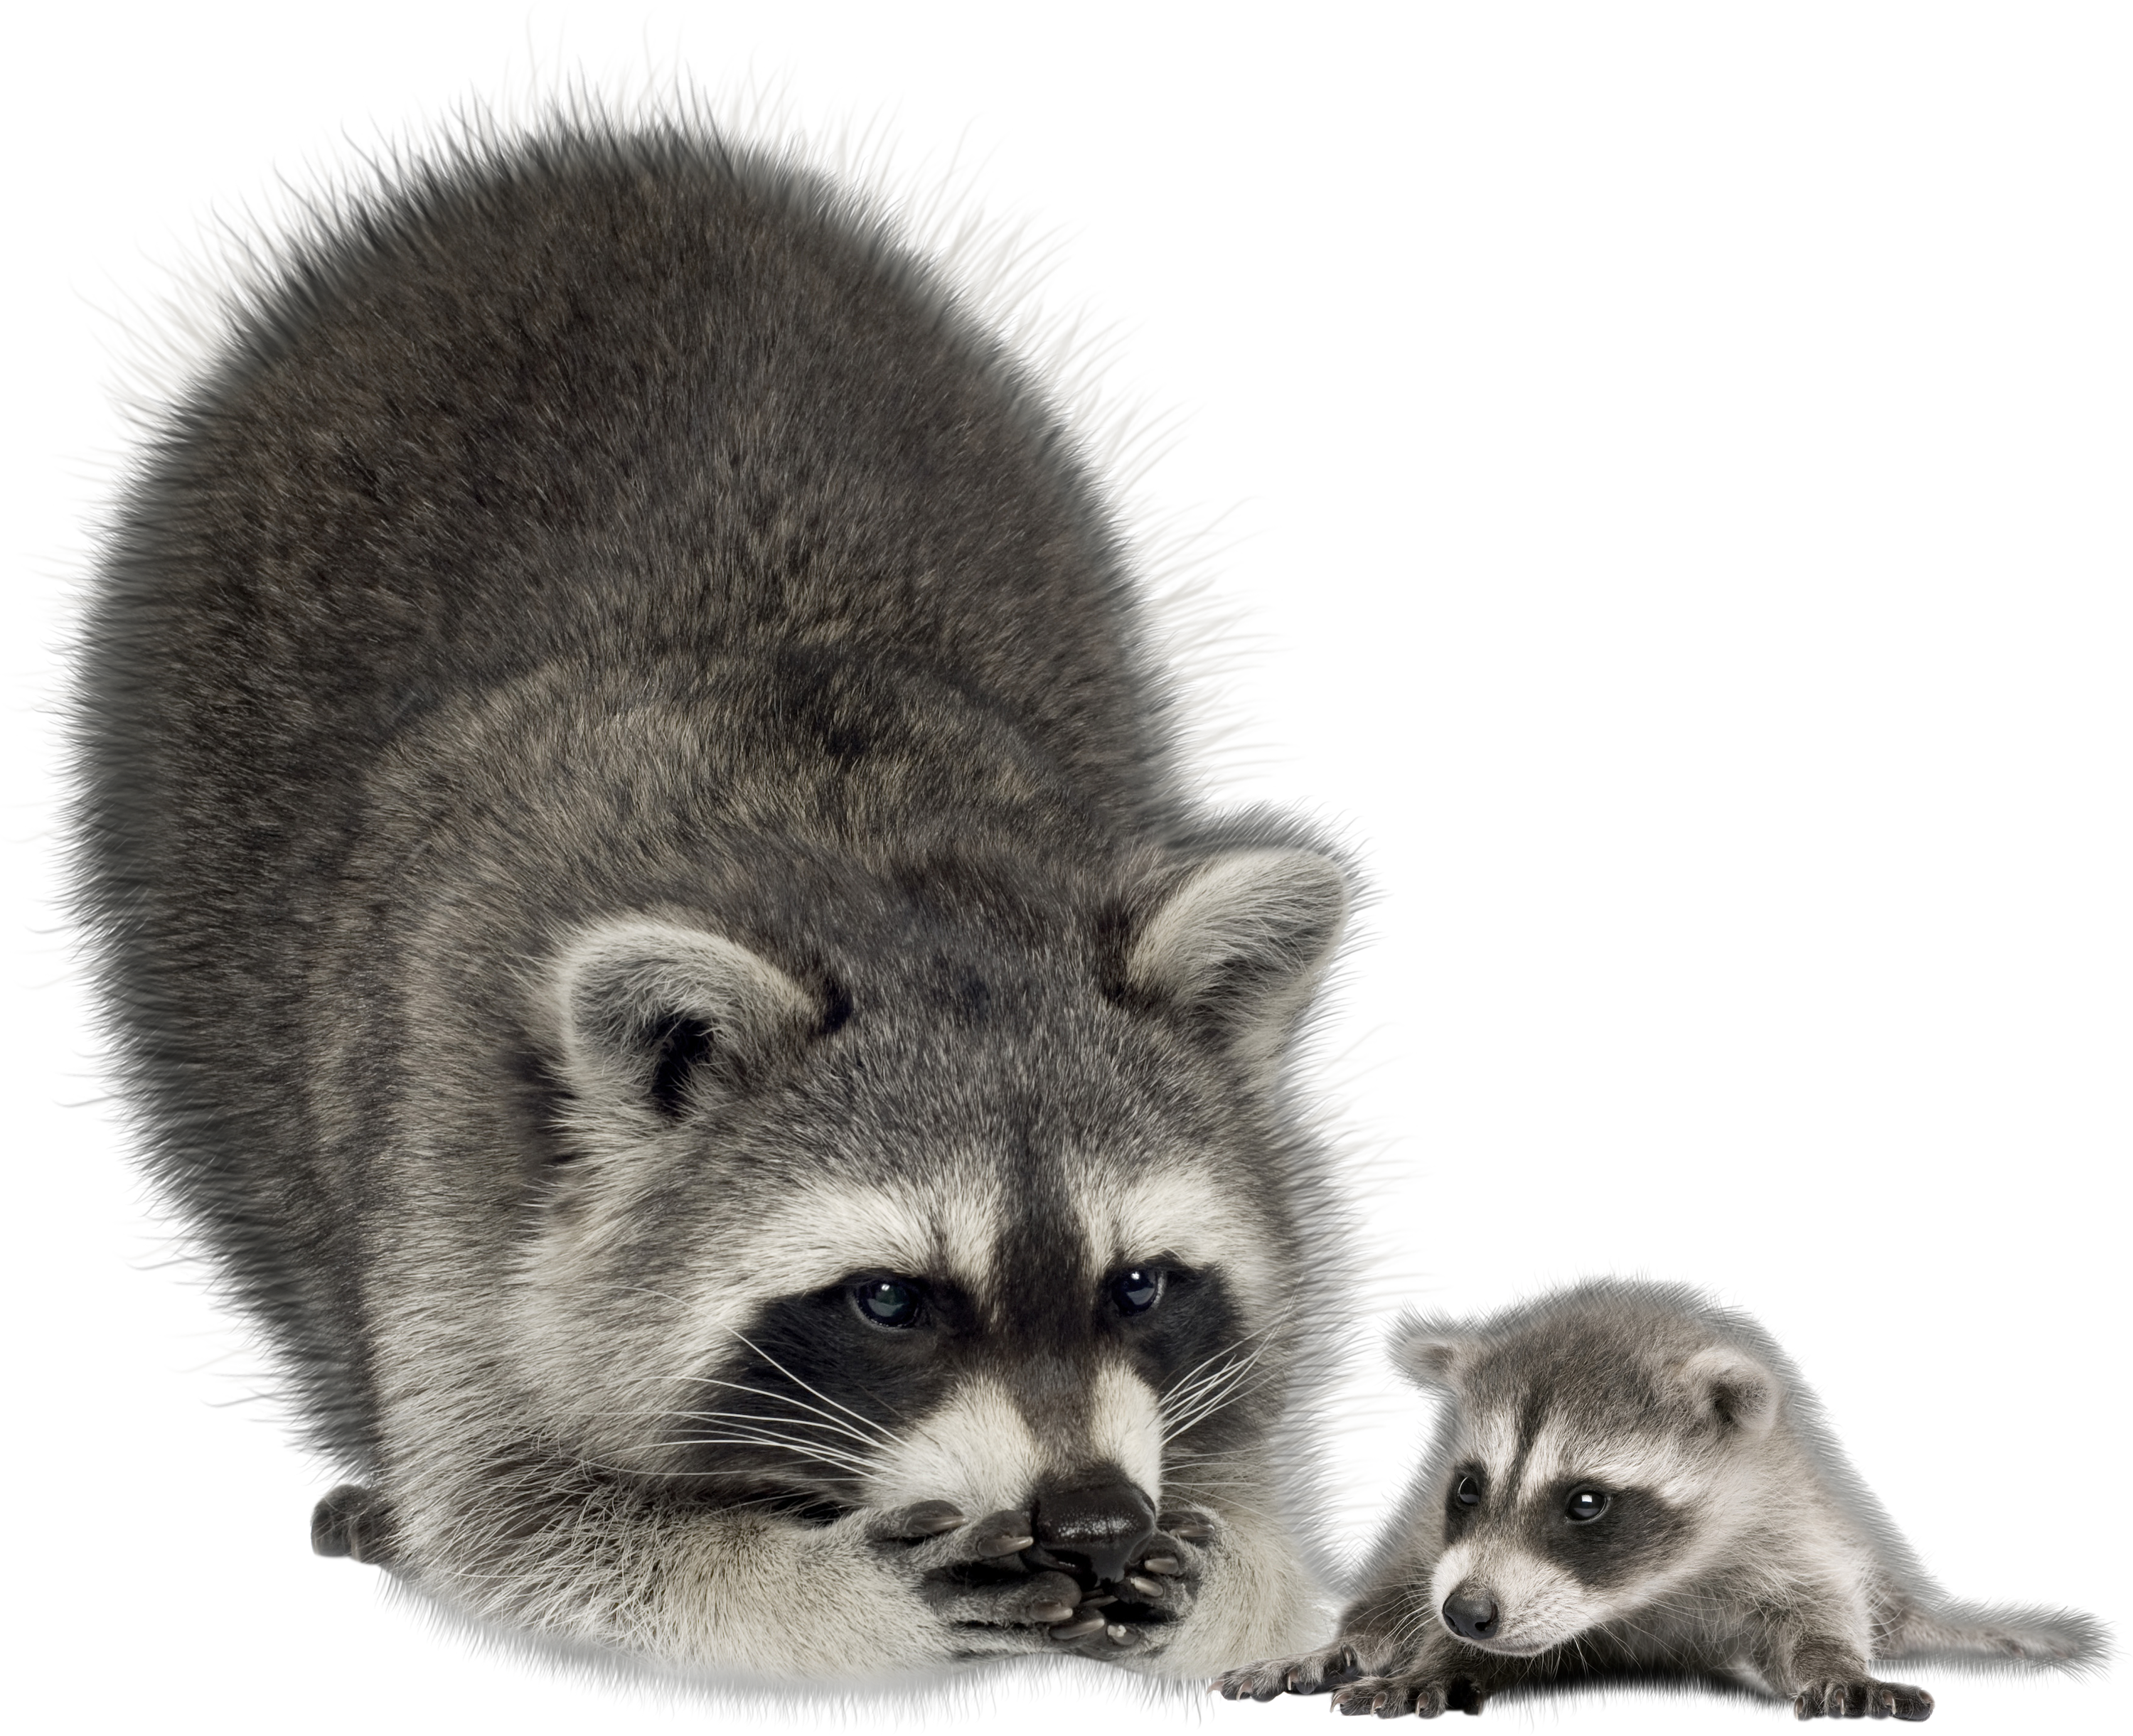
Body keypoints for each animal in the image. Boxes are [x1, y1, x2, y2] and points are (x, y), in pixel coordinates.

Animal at [48, 90, 1364, 1679]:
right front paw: (839, 1584)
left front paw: (1225, 1563)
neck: (862, 853)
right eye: (889, 1299)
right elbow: (520, 1516)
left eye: (1141, 1283)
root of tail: (612, 165)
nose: (1095, 1515)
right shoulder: (460, 1127)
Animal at [1215, 1275, 2103, 1721]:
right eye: (1467, 1487)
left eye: (1585, 1503)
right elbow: (1419, 1604)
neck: (1638, 1600)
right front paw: (1430, 1655)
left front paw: (1834, 1663)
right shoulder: (1445, 1546)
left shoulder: (1791, 1535)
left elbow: (1815, 1618)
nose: (1466, 1614)